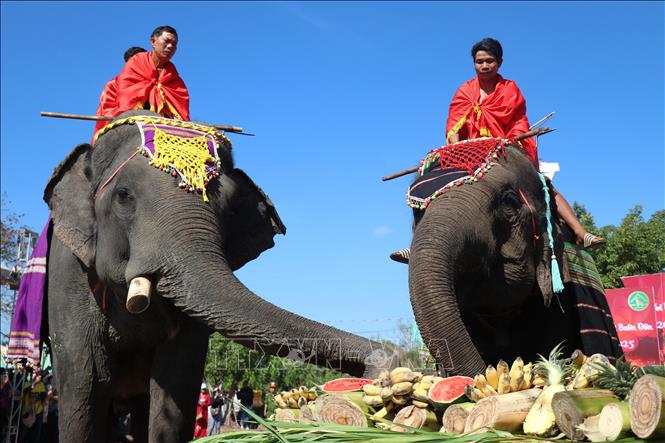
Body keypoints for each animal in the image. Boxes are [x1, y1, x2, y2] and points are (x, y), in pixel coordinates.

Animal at [42, 112, 394, 443]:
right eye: (124, 196)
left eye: (230, 210)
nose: (379, 366)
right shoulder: (69, 273)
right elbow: (86, 380)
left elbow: (175, 380)